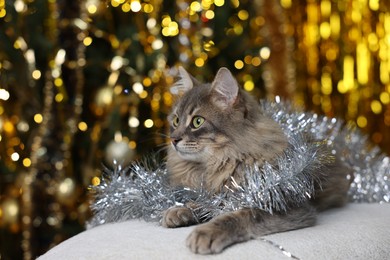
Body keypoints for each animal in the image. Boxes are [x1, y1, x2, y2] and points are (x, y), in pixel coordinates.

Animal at [161, 66, 350, 254]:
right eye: (176, 120)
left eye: (197, 121)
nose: (174, 139)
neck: (222, 161)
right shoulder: (220, 194)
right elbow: (204, 203)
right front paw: (181, 210)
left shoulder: (285, 205)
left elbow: (241, 216)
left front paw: (206, 232)